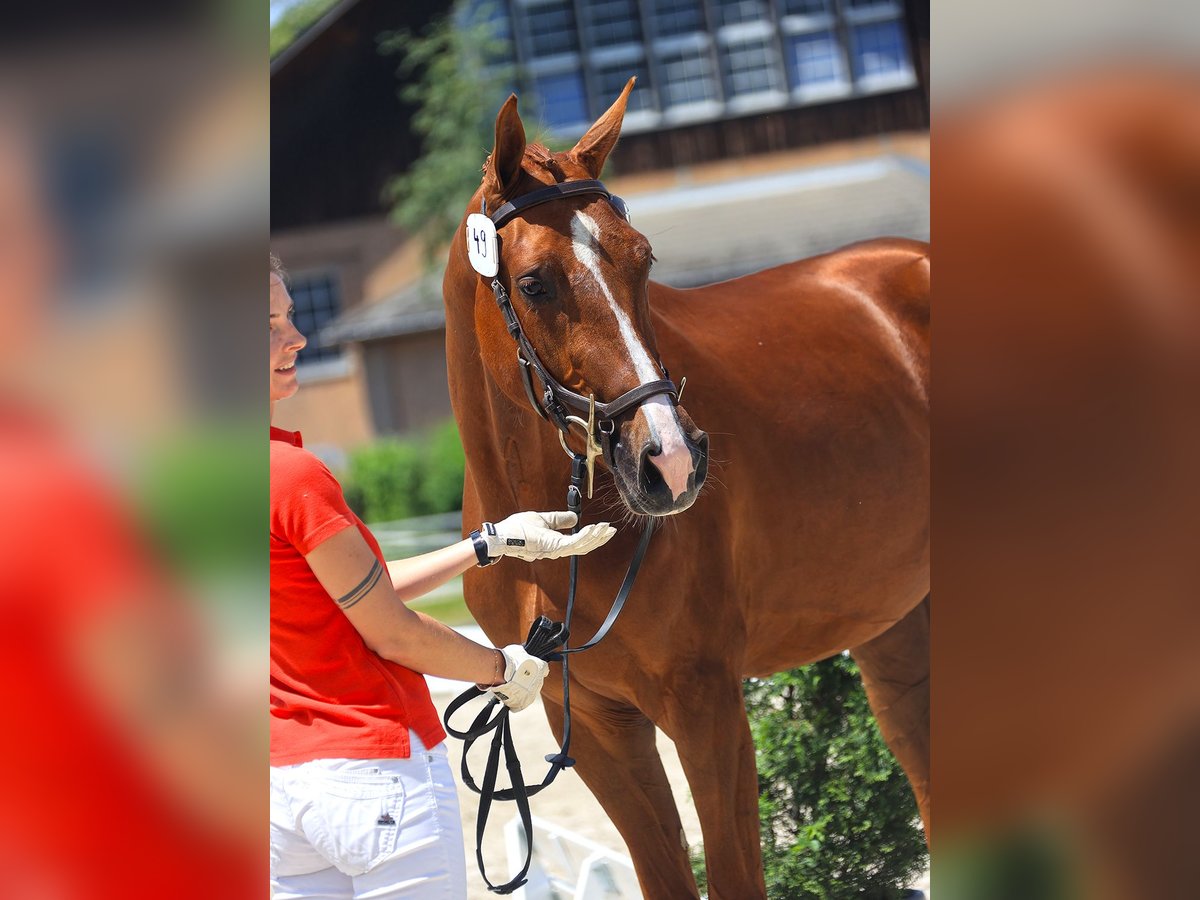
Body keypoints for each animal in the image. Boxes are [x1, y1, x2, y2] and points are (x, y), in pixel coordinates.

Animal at [441, 81, 926, 897]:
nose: (670, 461)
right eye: (534, 283)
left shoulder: (709, 713)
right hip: (896, 628)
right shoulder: (600, 729)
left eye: (643, 261)